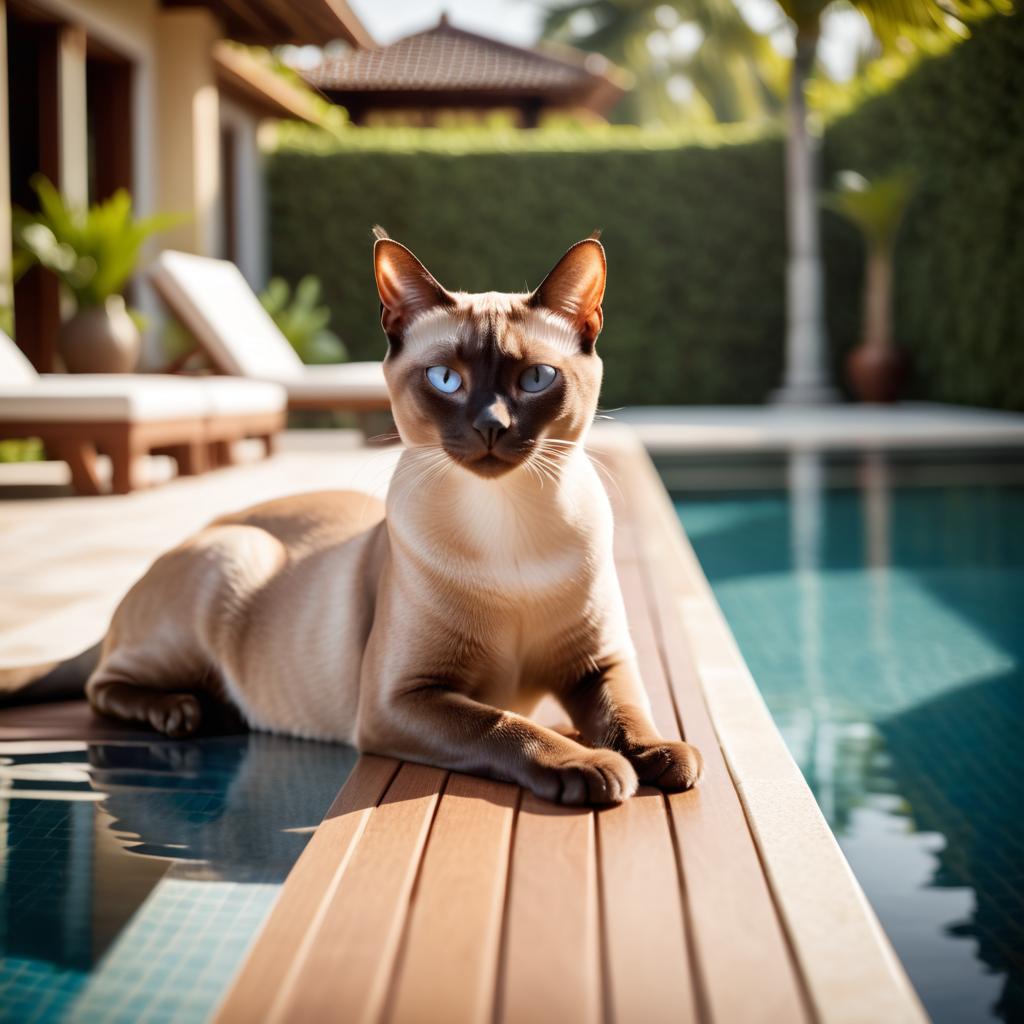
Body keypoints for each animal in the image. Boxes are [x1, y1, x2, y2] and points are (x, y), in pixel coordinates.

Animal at [79, 235, 704, 802]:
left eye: (535, 379)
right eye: (445, 379)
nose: (492, 425)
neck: (507, 527)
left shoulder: (597, 664)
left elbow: (626, 713)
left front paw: (660, 755)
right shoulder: (400, 699)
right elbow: (504, 725)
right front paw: (590, 766)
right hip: (236, 557)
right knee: (100, 683)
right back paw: (185, 711)